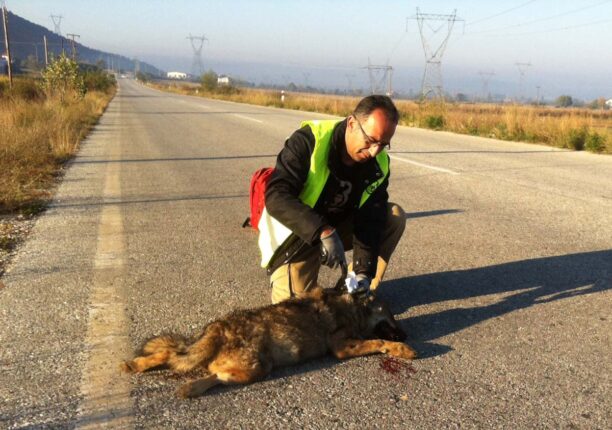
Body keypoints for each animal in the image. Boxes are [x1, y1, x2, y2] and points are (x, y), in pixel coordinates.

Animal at [119, 288, 416, 398]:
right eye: (392, 317)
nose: (406, 335)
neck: (353, 308)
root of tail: (220, 326)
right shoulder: (342, 348)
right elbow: (377, 341)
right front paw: (401, 349)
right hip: (258, 367)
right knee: (210, 374)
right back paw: (188, 387)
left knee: (172, 355)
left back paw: (137, 366)